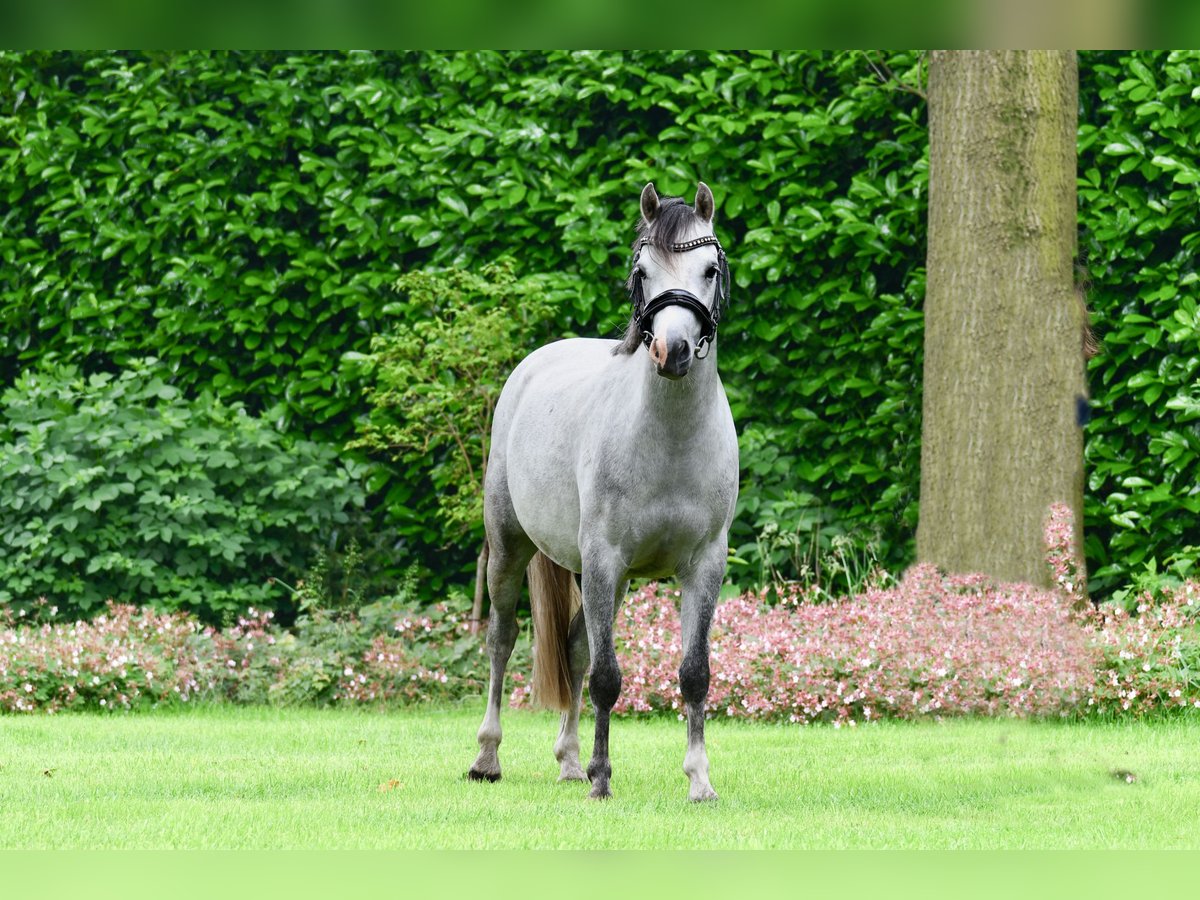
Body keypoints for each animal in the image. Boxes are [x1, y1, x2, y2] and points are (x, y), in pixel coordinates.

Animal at [470, 183, 739, 801]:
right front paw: (602, 780)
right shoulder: (603, 558)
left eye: (710, 270)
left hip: (607, 581)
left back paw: (569, 761)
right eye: (642, 271)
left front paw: (699, 780)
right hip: (514, 550)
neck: (669, 440)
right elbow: (607, 677)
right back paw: (488, 758)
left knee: (573, 646)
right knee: (502, 639)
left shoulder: (704, 564)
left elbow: (694, 673)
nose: (672, 352)